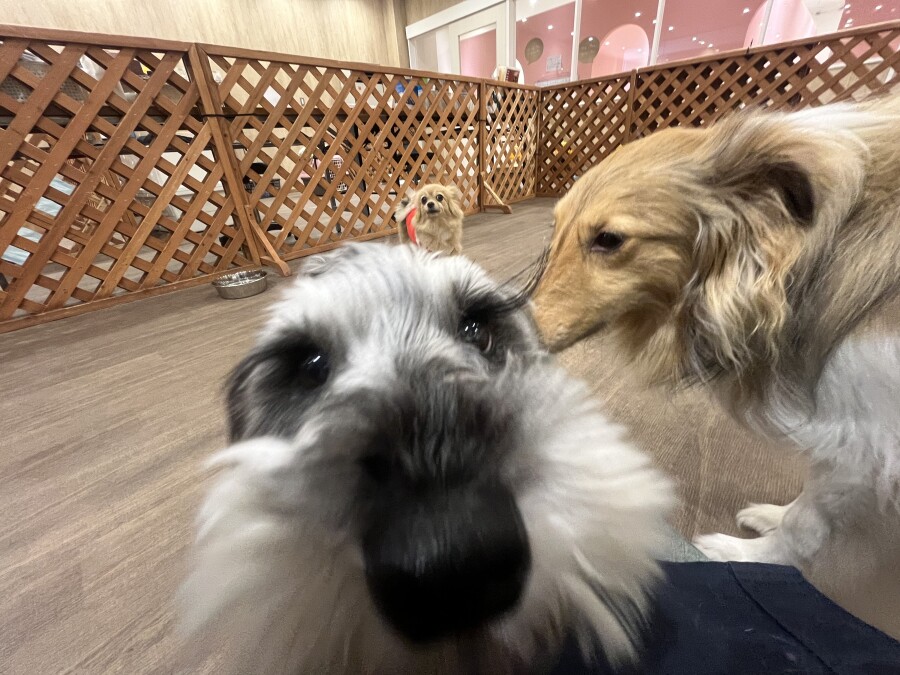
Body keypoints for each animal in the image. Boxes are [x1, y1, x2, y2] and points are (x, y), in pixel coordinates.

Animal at [531, 95, 900, 637]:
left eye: (610, 239)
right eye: (554, 228)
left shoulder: (867, 437)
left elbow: (806, 522)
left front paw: (742, 555)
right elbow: (806, 500)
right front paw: (771, 516)